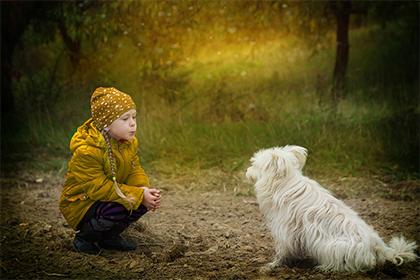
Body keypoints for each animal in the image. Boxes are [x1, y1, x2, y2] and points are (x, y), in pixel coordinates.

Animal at [246, 145, 416, 272]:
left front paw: (273, 265)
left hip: (330, 246)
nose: (247, 171)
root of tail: (381, 248)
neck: (284, 184)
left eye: (254, 165)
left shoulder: (285, 232)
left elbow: (282, 251)